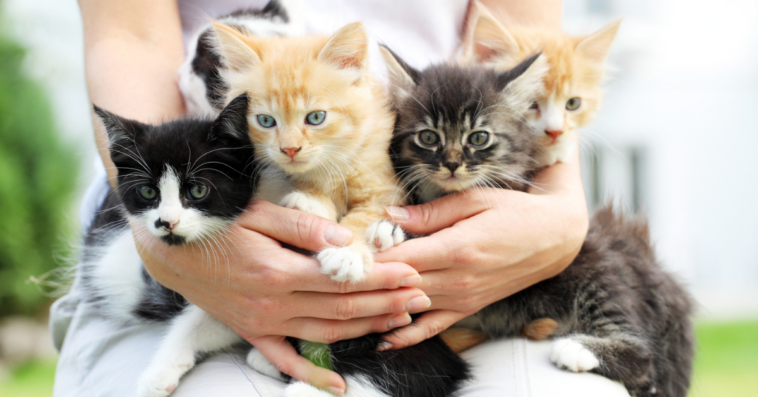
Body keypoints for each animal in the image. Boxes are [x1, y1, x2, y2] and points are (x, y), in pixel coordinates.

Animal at [211, 22, 406, 282]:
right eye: (265, 121)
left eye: (315, 117)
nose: (290, 149)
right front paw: (312, 203)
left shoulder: (387, 190)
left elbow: (365, 217)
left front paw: (347, 252)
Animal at [382, 46, 696, 396]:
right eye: (427, 137)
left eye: (478, 138)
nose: (451, 164)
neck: (445, 193)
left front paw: (392, 230)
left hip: (597, 267)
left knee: (644, 358)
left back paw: (578, 348)